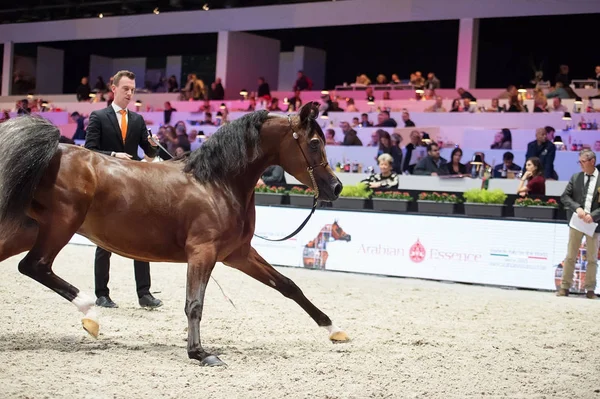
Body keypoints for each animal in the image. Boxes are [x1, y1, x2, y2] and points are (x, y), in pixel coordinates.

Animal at [0, 101, 350, 368]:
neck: (216, 183)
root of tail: (53, 150)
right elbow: (194, 304)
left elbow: (288, 285)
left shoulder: (237, 254)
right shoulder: (202, 253)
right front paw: (201, 353)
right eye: (314, 143)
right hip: (61, 224)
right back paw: (92, 314)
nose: (336, 188)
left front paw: (333, 329)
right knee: (35, 266)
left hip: (29, 230)